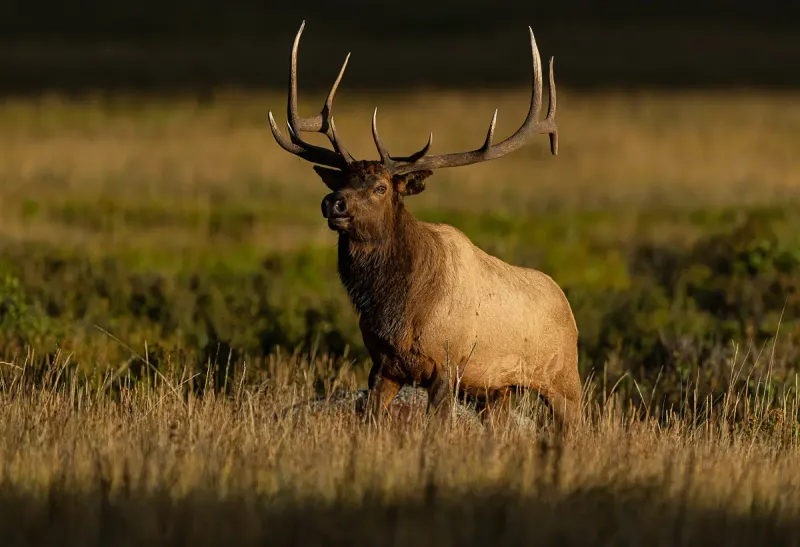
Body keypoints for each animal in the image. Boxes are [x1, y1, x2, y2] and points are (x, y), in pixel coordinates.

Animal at [268, 21, 580, 430]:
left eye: (381, 187)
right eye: (342, 180)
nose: (332, 202)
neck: (399, 310)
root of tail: (567, 305)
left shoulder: (448, 363)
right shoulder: (382, 365)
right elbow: (370, 419)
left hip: (564, 379)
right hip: (496, 389)